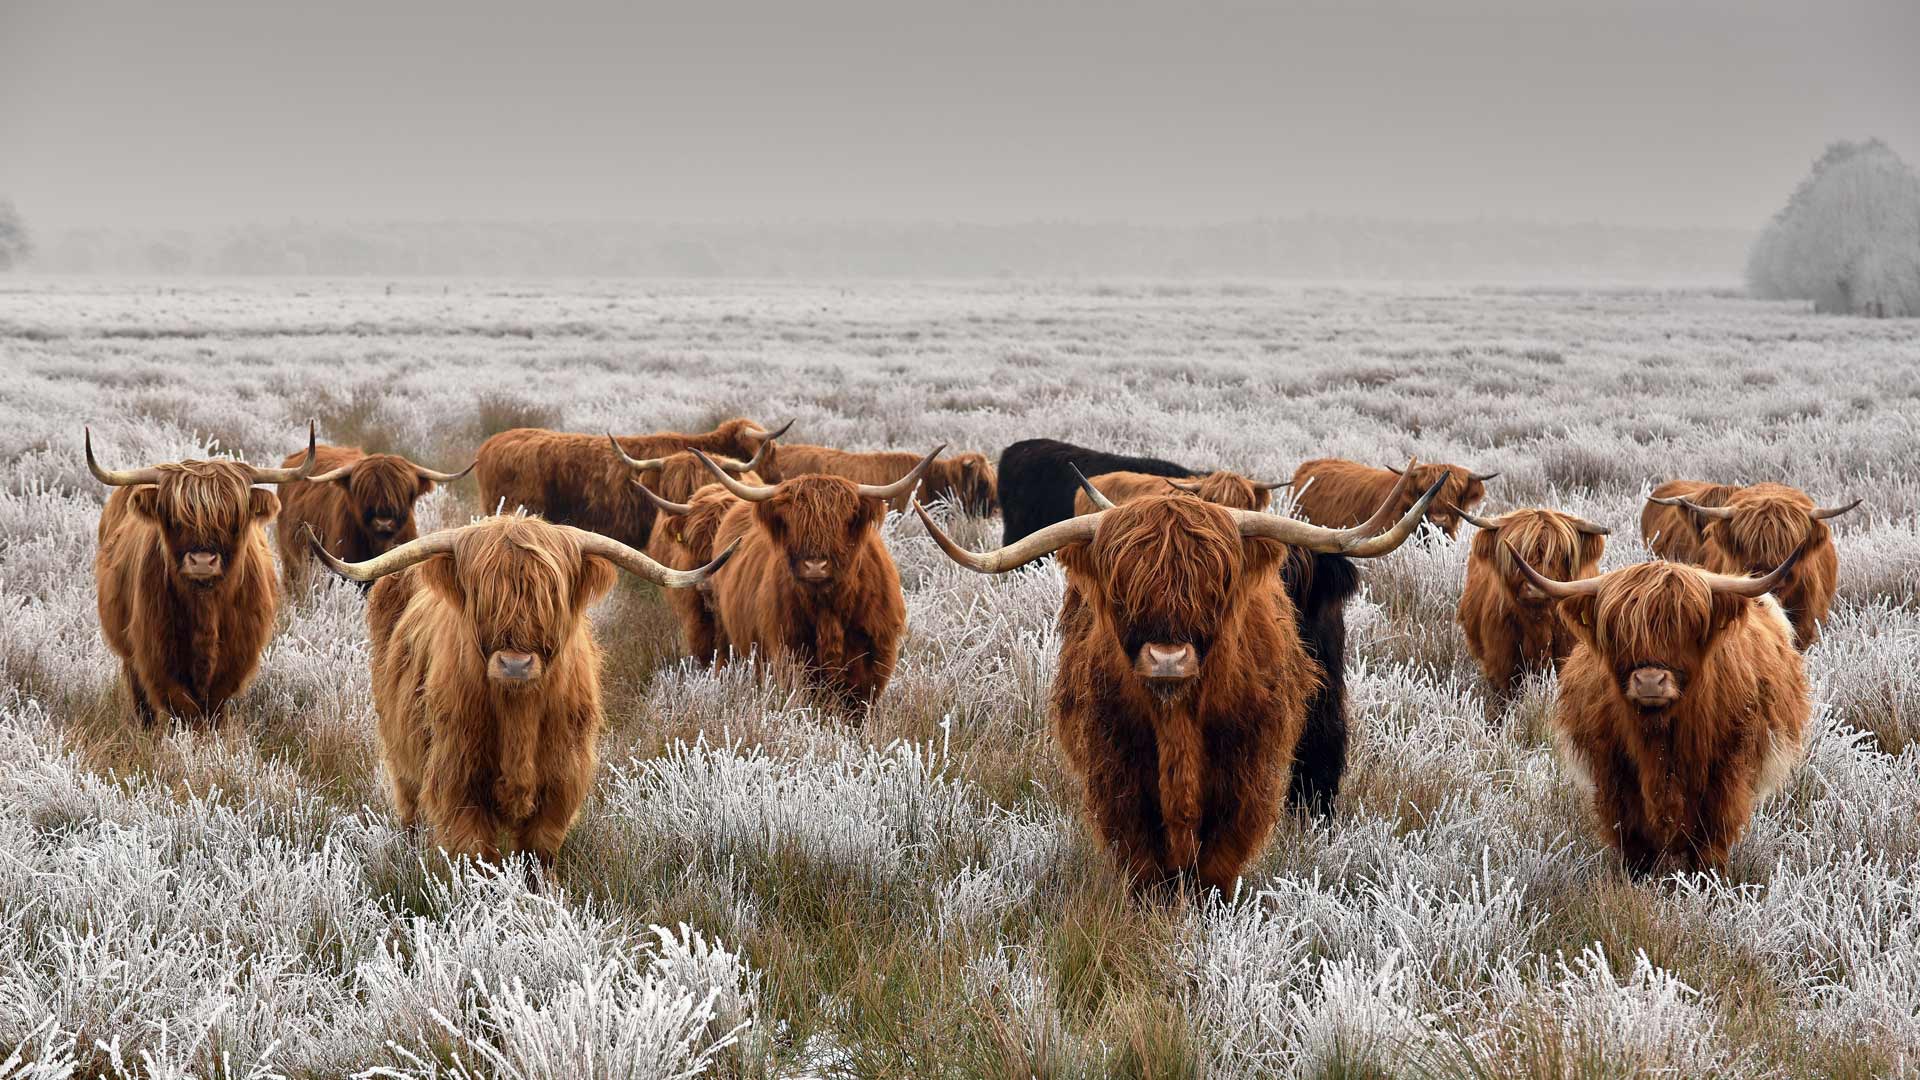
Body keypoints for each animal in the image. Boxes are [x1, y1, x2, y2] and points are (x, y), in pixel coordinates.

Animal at [88, 423, 317, 724]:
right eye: (174, 517)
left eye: (233, 518)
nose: (202, 561)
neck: (205, 607)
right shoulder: (155, 656)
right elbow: (183, 709)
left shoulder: (235, 661)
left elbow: (212, 709)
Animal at [305, 514, 734, 867]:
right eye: (483, 596)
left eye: (550, 596)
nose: (515, 664)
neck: (518, 714)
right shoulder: (457, 780)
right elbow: (478, 857)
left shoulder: (561, 782)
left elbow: (538, 855)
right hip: (402, 757)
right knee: (409, 809)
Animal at [693, 446, 940, 707]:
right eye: (792, 521)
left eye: (843, 521)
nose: (815, 566)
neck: (828, 608)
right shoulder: (790, 654)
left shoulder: (873, 663)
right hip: (726, 637)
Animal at [1510, 539, 1813, 875]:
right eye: (1618, 630)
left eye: (1688, 627)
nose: (1650, 682)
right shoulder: (1613, 773)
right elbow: (1633, 840)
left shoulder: (1727, 772)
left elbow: (1711, 841)